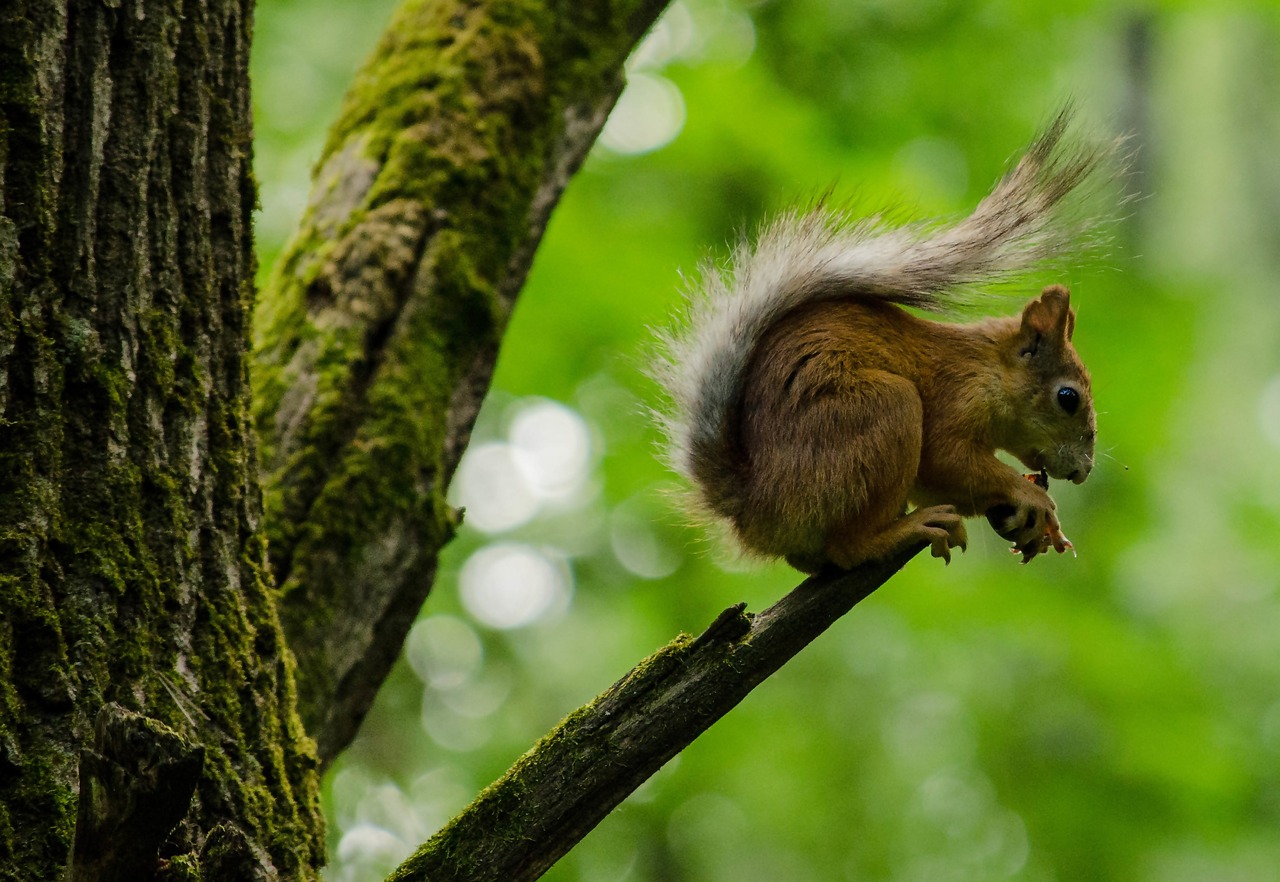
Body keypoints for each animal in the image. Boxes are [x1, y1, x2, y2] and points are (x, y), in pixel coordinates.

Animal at [650, 112, 1111, 570]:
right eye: (1067, 397)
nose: (1083, 471)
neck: (987, 367)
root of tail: (755, 508)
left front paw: (1042, 524)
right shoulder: (956, 398)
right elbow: (947, 460)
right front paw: (1032, 495)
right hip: (881, 411)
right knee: (848, 547)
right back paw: (904, 530)